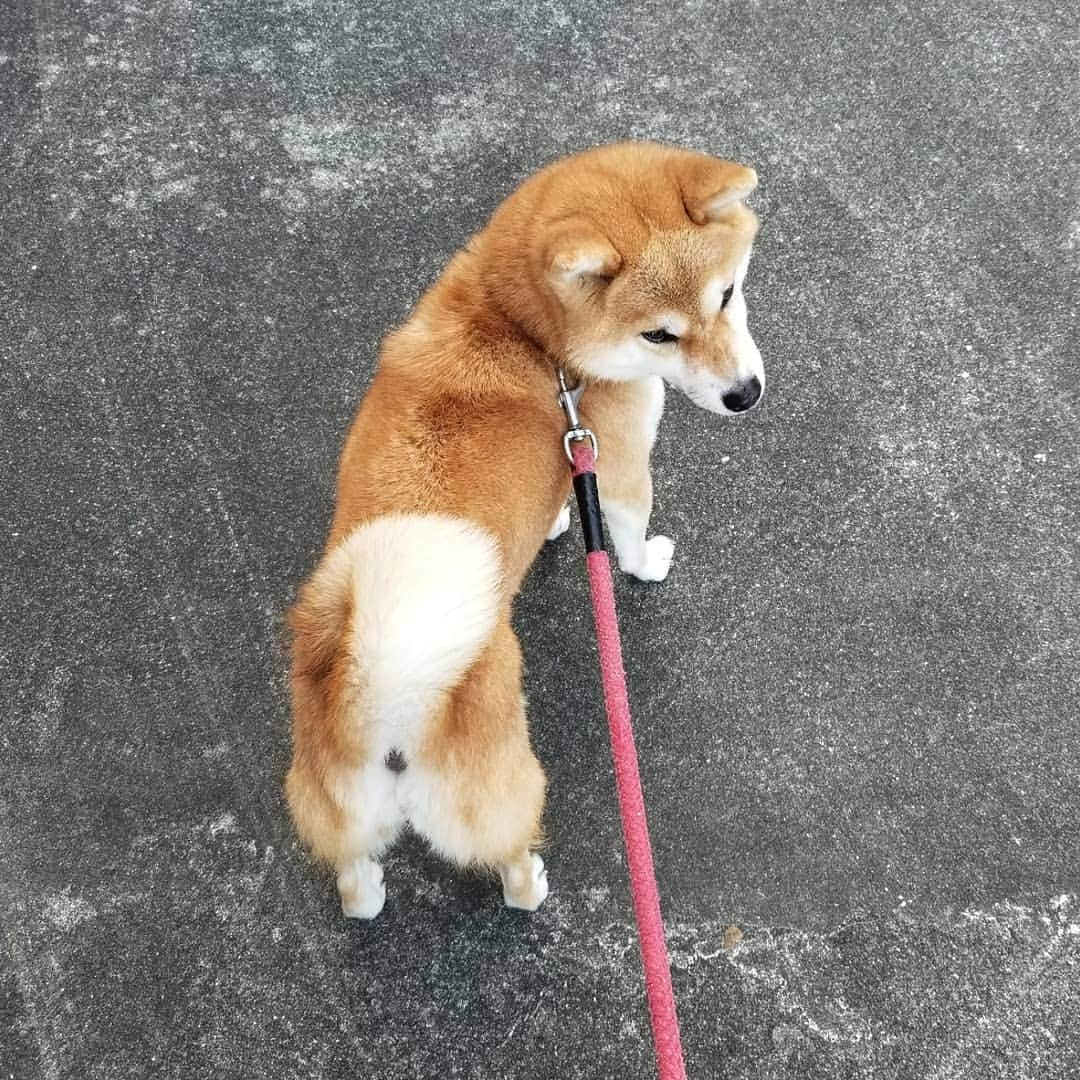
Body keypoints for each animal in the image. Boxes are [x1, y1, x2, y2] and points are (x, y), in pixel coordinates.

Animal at [285, 141, 760, 920]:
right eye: (659, 334)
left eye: (725, 296)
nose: (744, 395)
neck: (527, 329)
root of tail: (384, 700)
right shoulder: (619, 459)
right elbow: (630, 534)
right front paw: (647, 563)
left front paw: (560, 518)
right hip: (505, 786)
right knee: (504, 857)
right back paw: (530, 883)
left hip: (338, 809)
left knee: (354, 881)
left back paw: (370, 894)